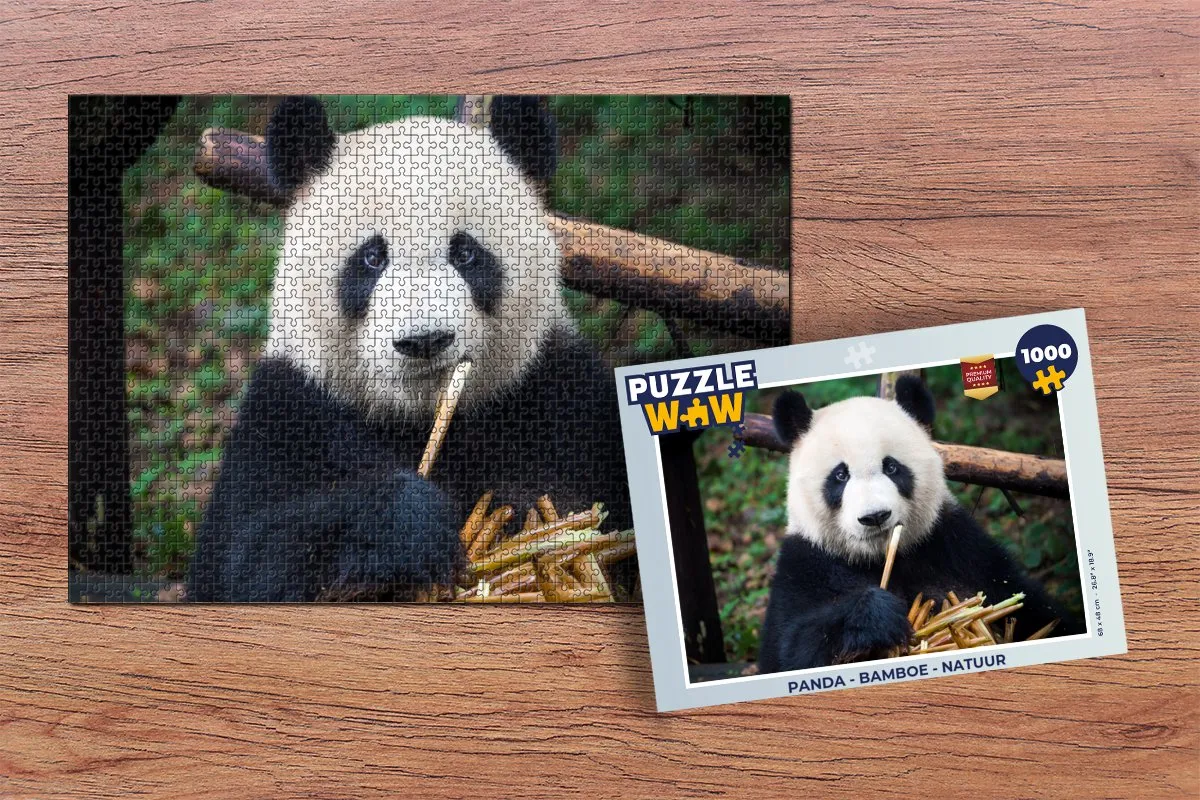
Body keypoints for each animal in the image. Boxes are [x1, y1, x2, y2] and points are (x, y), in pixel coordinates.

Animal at [189, 96, 631, 601]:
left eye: (465, 253)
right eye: (372, 257)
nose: (424, 340)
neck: (419, 416)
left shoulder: (561, 395)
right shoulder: (291, 413)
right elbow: (250, 561)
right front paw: (410, 522)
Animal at [758, 375, 1083, 673]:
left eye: (891, 467)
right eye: (840, 475)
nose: (875, 516)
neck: (881, 558)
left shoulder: (958, 546)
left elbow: (1033, 608)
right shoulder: (806, 565)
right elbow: (789, 651)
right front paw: (877, 615)